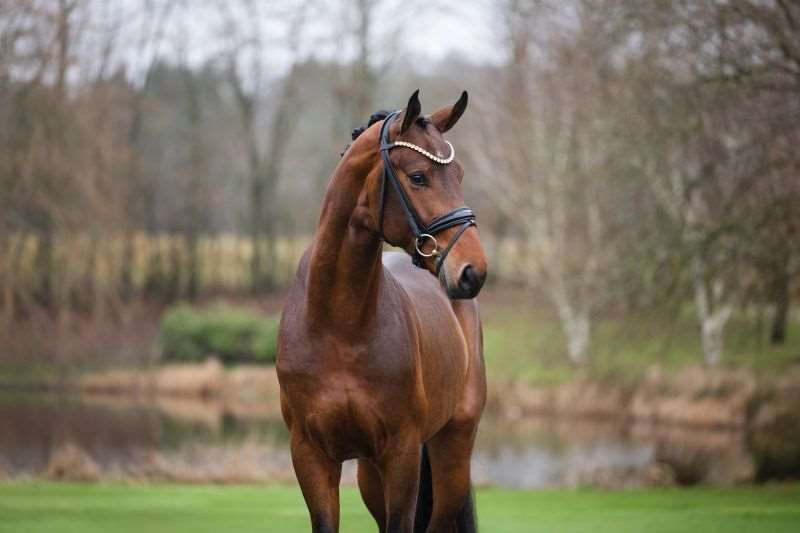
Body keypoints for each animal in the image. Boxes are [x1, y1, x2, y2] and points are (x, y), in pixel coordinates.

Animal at [277, 89, 488, 533]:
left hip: (453, 446)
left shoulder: (401, 454)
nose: (472, 270)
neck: (339, 324)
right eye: (418, 176)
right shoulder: (310, 454)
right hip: (369, 473)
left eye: (459, 175)